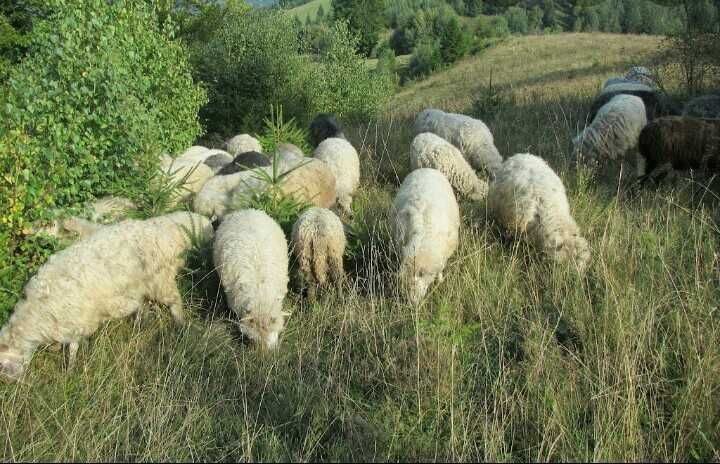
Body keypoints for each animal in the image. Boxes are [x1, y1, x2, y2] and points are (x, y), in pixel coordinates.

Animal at [0, 212, 214, 378]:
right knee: (143, 305)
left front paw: (69, 371)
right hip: (141, 287)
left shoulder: (78, 321)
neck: (36, 312)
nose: (12, 384)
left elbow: (73, 348)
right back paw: (140, 325)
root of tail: (161, 230)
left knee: (175, 303)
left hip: (160, 281)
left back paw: (180, 325)